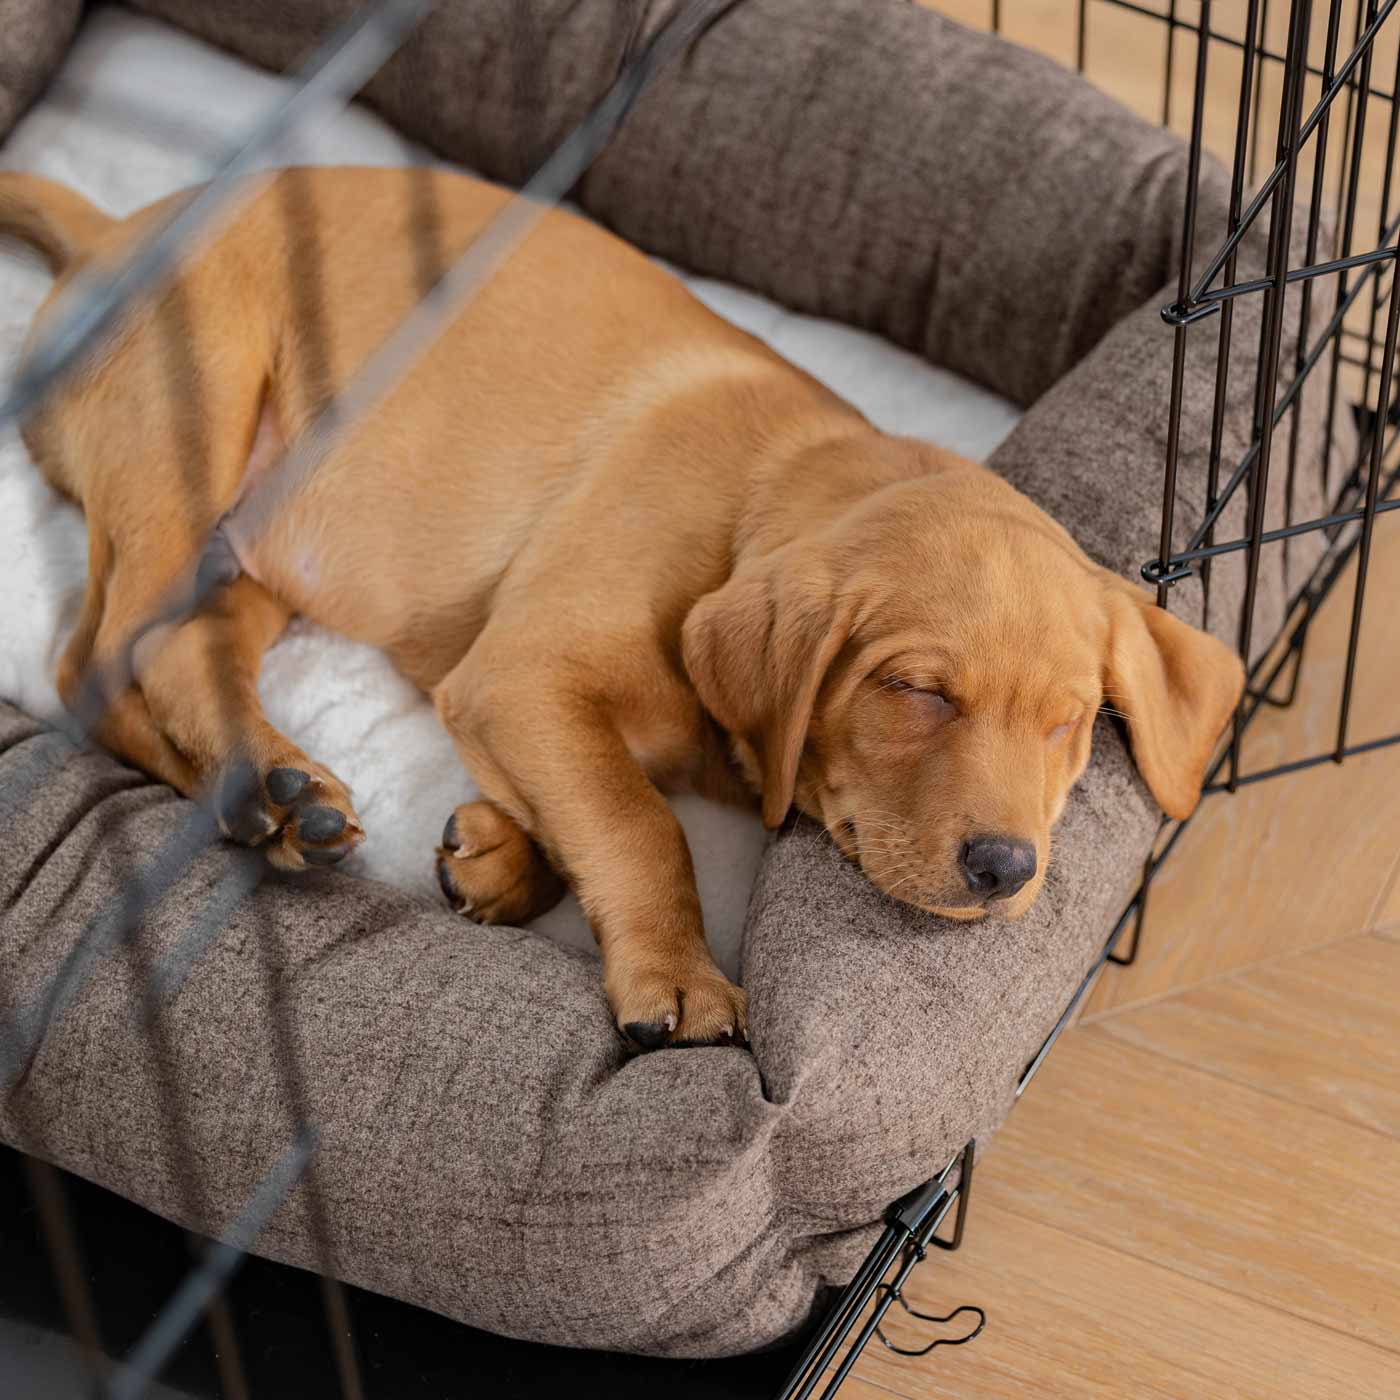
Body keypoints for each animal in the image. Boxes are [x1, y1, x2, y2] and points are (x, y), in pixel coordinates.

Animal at [5, 169, 1243, 1052]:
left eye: (1070, 723)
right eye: (914, 690)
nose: (1003, 868)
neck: (757, 499)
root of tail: (117, 228)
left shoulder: (520, 703)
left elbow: (584, 805)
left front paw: (502, 857)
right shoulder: (520, 674)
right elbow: (638, 819)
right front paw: (678, 975)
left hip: (262, 549)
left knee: (171, 652)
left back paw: (267, 791)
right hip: (193, 420)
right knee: (98, 656)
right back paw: (250, 794)